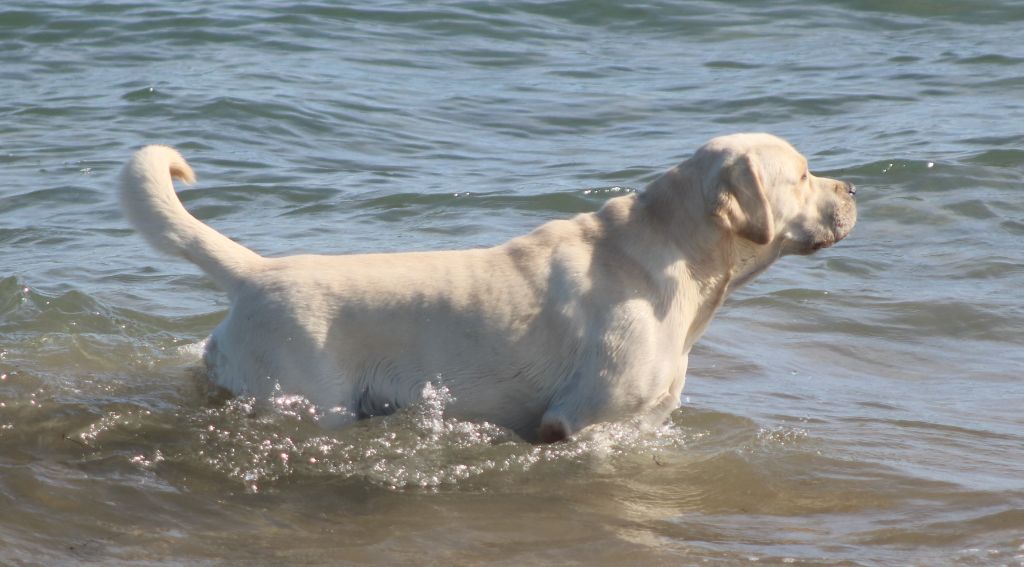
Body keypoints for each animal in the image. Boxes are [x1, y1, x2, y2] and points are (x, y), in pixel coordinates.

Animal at [119, 133, 856, 442]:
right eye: (804, 173)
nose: (852, 188)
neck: (674, 251)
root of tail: (255, 271)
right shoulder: (582, 421)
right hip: (306, 401)